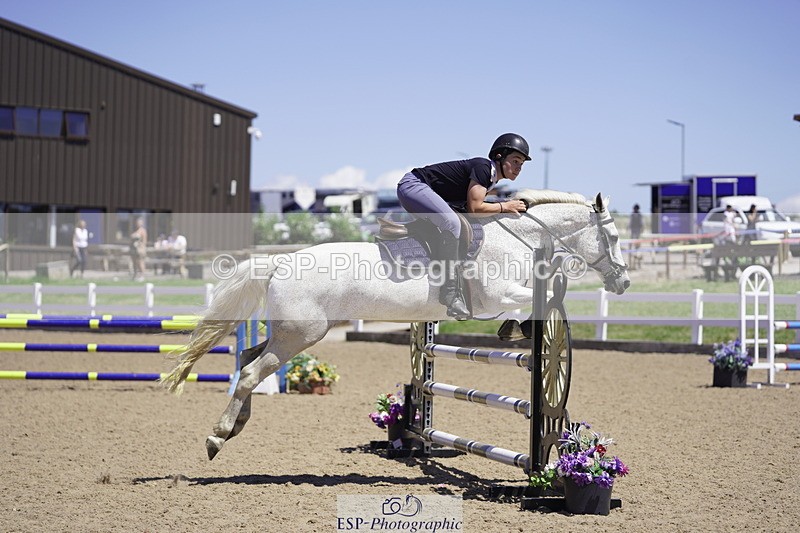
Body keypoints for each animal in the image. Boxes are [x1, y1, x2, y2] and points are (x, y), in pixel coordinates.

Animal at [160, 190, 630, 459]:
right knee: (252, 372)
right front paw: (522, 330)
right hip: (301, 334)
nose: (623, 282)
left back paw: (236, 425)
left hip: (290, 333)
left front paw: (516, 330)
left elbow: (541, 302)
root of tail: (279, 260)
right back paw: (218, 437)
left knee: (247, 357)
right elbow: (543, 300)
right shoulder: (498, 294)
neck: (516, 237)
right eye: (613, 237)